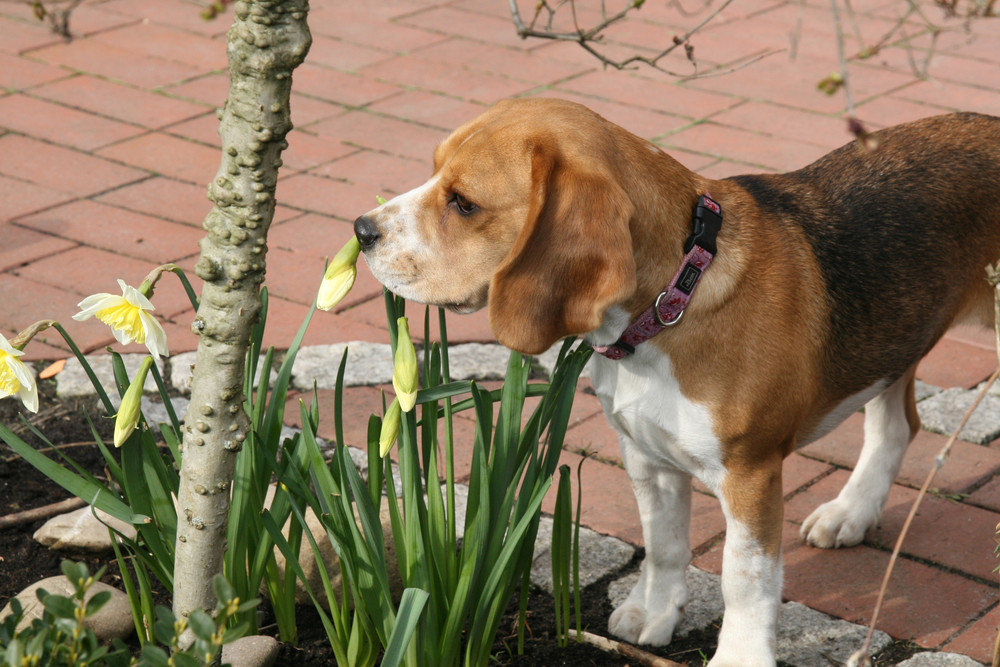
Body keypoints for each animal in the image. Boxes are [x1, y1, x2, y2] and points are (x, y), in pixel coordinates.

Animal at [350, 99, 1000, 667]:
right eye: (434, 169)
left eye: (463, 203)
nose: (360, 229)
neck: (674, 299)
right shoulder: (646, 457)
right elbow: (663, 546)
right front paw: (655, 614)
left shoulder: (750, 475)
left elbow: (745, 578)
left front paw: (739, 658)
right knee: (896, 426)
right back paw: (852, 512)